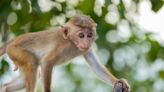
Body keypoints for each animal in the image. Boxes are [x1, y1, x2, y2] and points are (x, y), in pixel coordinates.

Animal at [0, 14, 130, 91]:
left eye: (89, 35)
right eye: (81, 35)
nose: (86, 42)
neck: (72, 43)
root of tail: (13, 40)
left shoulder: (86, 49)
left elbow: (94, 64)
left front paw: (118, 81)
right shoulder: (61, 47)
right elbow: (47, 62)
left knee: (31, 74)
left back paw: (5, 88)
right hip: (16, 51)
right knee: (32, 64)